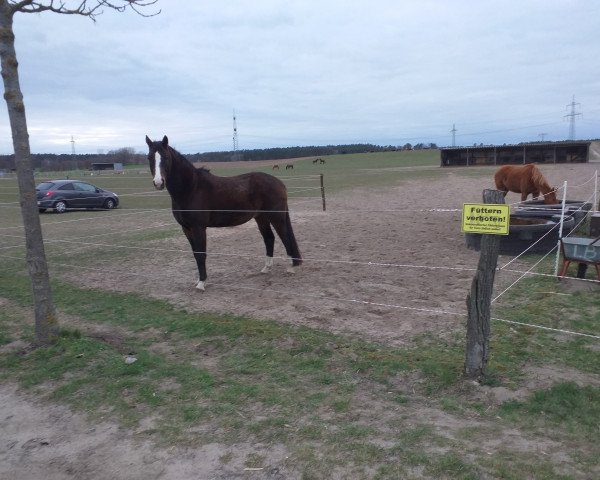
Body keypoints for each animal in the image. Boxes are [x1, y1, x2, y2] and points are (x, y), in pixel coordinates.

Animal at [145, 137, 302, 290]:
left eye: (165, 157)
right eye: (149, 157)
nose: (158, 182)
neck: (191, 188)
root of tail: (279, 182)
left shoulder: (198, 228)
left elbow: (201, 254)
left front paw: (202, 283)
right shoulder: (186, 229)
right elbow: (196, 254)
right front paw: (199, 280)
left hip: (276, 217)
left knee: (285, 238)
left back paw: (291, 267)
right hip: (261, 218)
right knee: (269, 238)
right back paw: (266, 268)